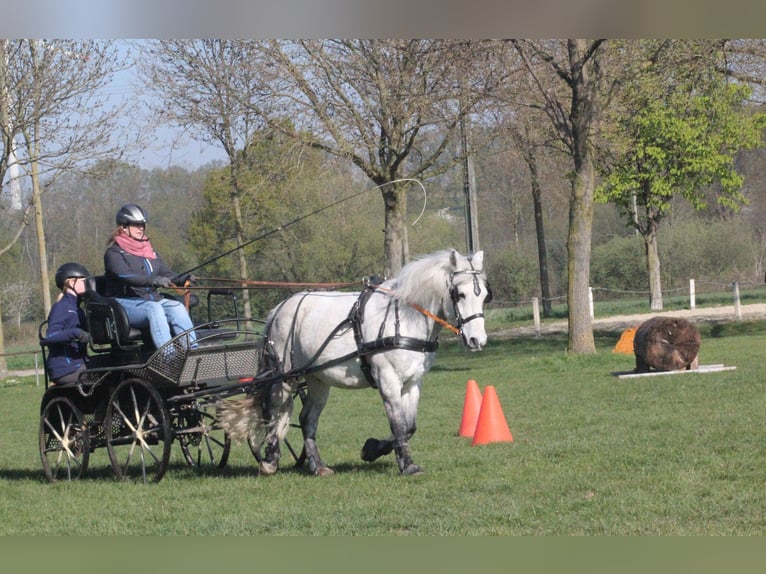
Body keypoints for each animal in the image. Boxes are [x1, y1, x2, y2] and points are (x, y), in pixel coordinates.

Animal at [217, 249, 491, 476]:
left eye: (484, 296)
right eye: (459, 294)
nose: (477, 340)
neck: (404, 318)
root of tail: (279, 309)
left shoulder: (413, 382)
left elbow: (410, 426)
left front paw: (373, 449)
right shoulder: (388, 381)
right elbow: (398, 425)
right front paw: (406, 465)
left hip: (317, 378)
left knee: (307, 419)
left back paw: (318, 466)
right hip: (284, 378)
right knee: (274, 414)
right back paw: (270, 461)